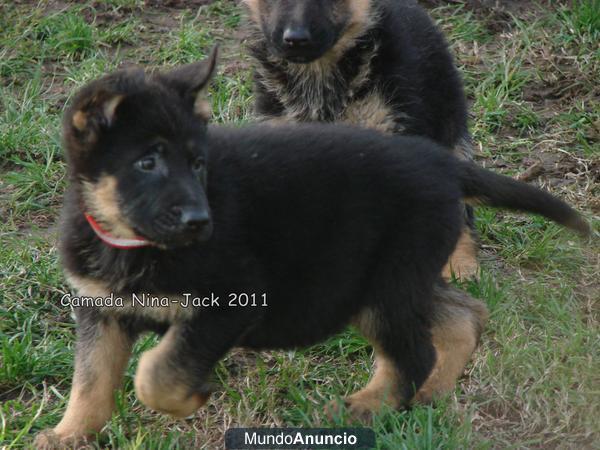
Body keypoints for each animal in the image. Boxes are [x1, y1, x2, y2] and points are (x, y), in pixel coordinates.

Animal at [35, 52, 588, 446]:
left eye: (197, 163)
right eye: (147, 163)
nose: (200, 222)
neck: (132, 241)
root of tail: (443, 162)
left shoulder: (232, 302)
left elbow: (156, 371)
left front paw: (190, 398)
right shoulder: (100, 309)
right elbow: (91, 379)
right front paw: (69, 435)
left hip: (382, 284)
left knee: (412, 353)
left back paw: (368, 407)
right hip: (403, 276)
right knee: (464, 316)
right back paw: (431, 393)